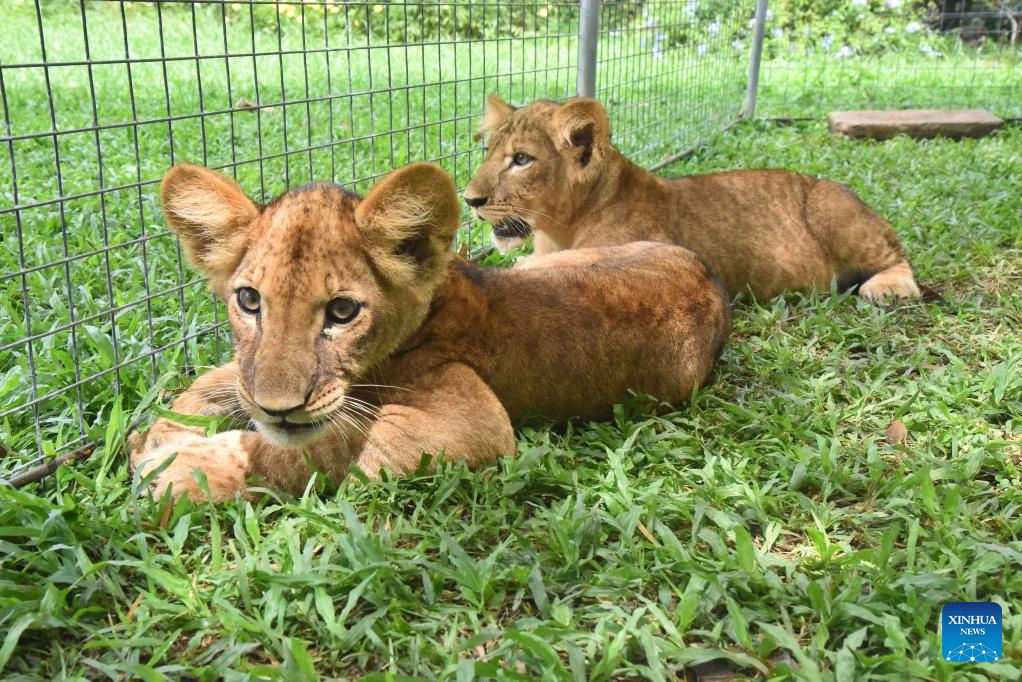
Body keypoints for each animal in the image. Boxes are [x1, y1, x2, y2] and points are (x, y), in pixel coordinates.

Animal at [129, 162, 731, 501]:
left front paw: (184, 471)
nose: (277, 408)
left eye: (342, 312)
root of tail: (710, 277)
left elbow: (327, 448)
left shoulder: (475, 426)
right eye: (250, 301)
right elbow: (221, 377)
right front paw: (162, 429)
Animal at [463, 95, 921, 302]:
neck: (559, 228)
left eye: (522, 160)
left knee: (899, 257)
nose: (470, 200)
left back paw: (888, 287)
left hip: (829, 202)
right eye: (488, 152)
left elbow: (556, 263)